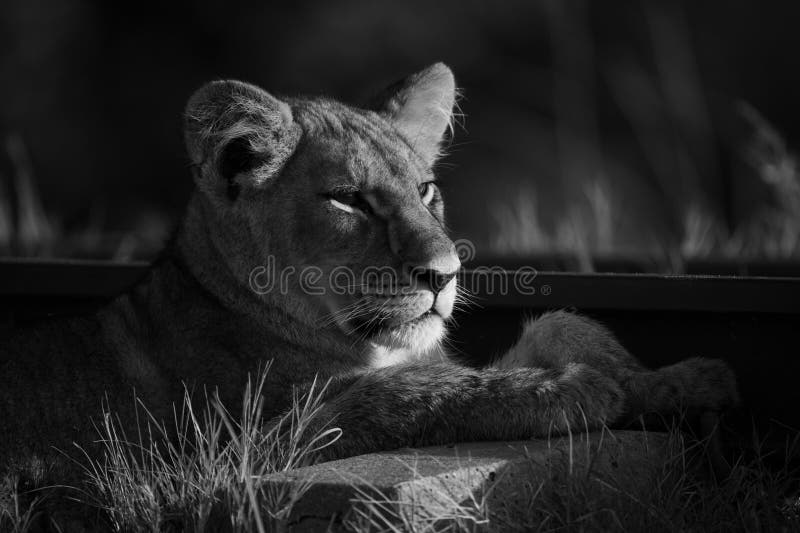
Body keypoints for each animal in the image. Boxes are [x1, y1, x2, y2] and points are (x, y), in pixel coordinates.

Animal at [0, 63, 737, 492]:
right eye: (349, 200)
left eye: (426, 188)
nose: (444, 275)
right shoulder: (238, 450)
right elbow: (415, 393)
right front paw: (577, 389)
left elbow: (561, 326)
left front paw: (676, 380)